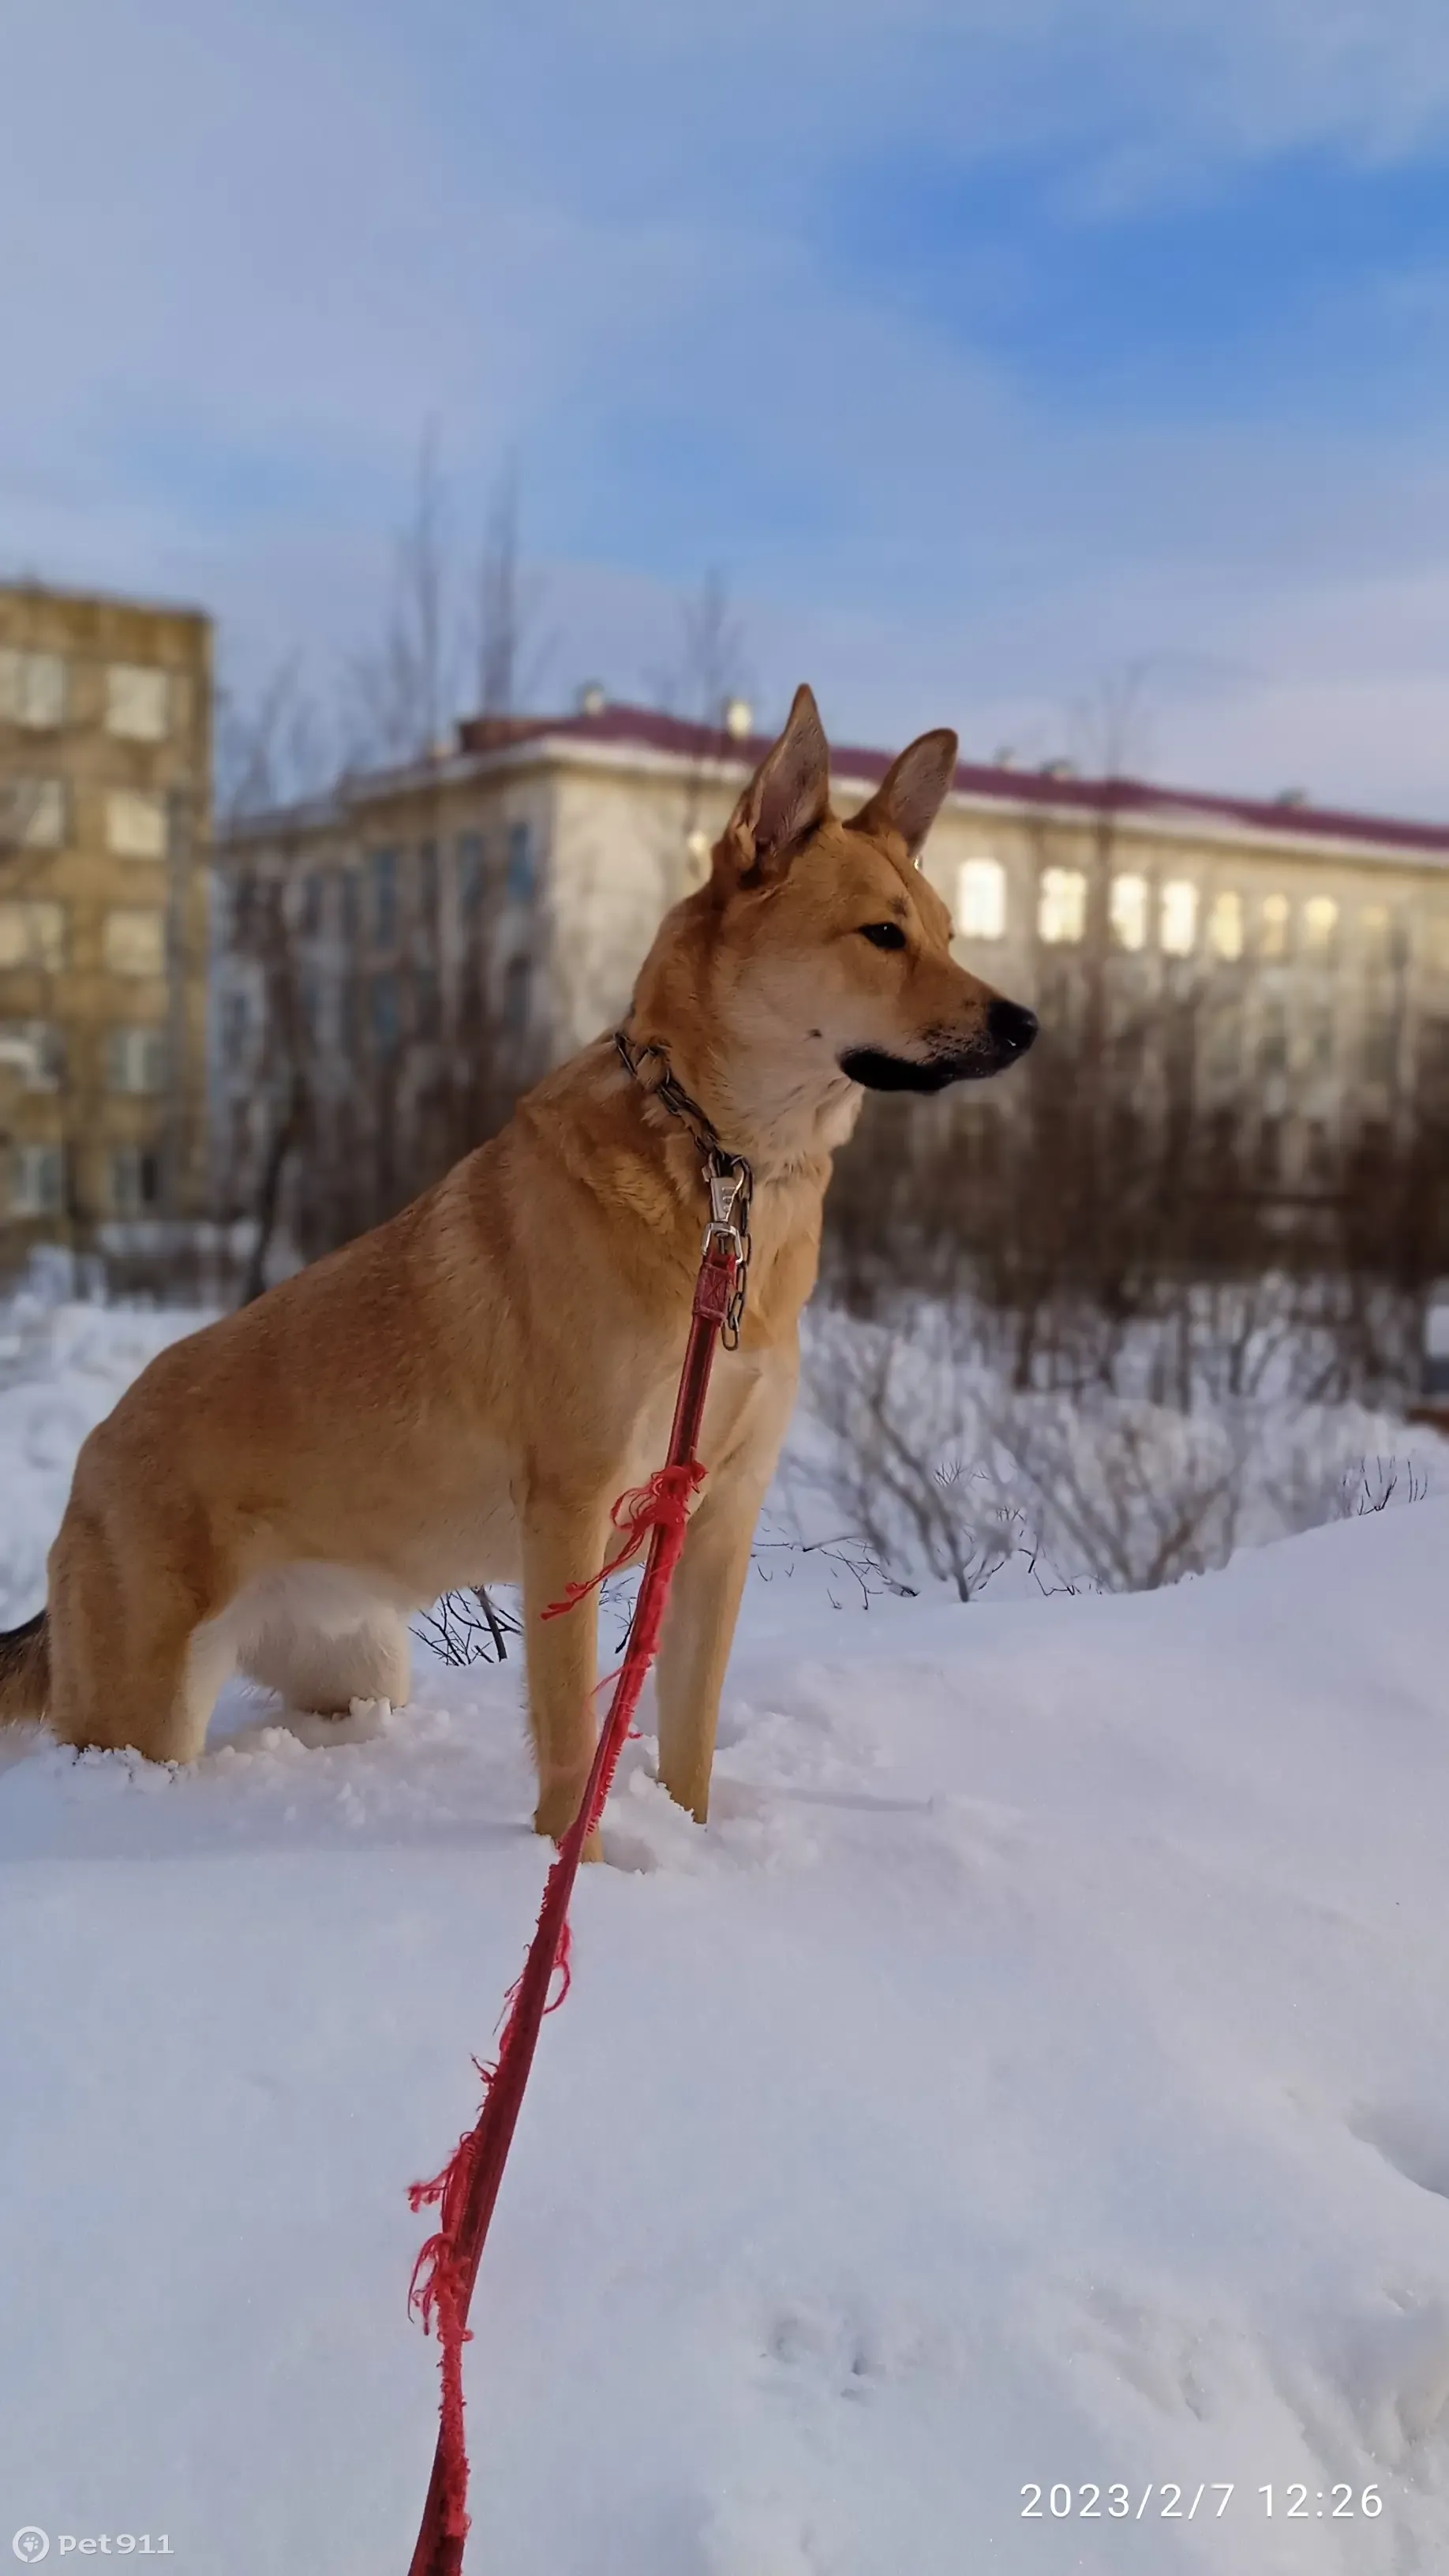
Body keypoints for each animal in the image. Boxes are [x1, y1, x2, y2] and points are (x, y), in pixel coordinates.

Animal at [0, 695, 1036, 1844]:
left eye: (946, 933)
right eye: (882, 934)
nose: (1025, 1026)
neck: (720, 1166)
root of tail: (94, 1454)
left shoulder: (716, 1522)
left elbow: (689, 1745)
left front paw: (691, 1849)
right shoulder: (573, 1515)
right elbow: (575, 1743)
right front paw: (582, 1861)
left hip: (360, 1665)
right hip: (141, 1713)